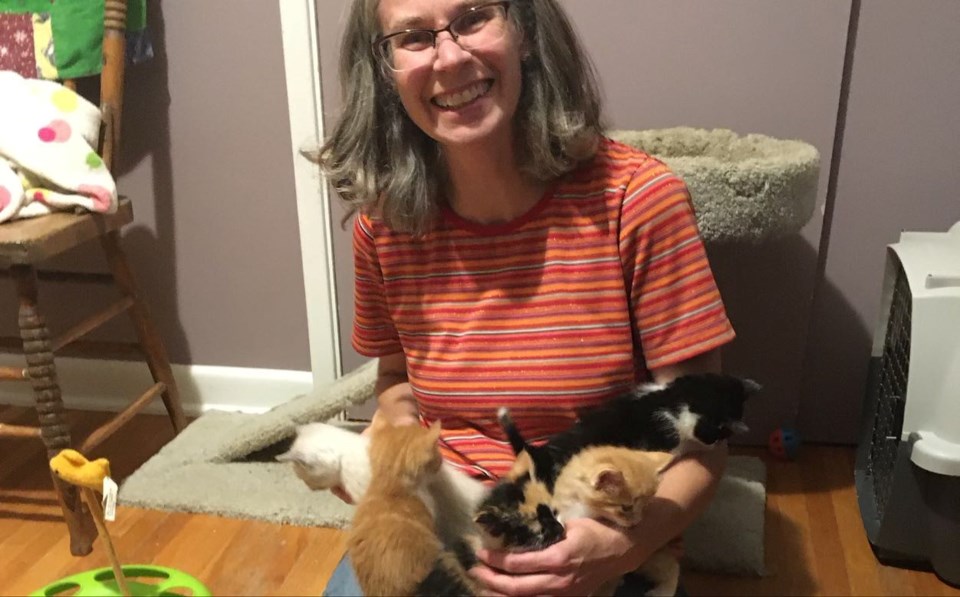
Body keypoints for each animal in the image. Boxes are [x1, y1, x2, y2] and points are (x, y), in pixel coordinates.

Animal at [552, 448, 680, 596]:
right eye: (626, 508)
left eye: (645, 505)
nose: (637, 522)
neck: (585, 509)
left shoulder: (612, 571)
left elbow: (603, 590)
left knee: (673, 566)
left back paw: (663, 591)